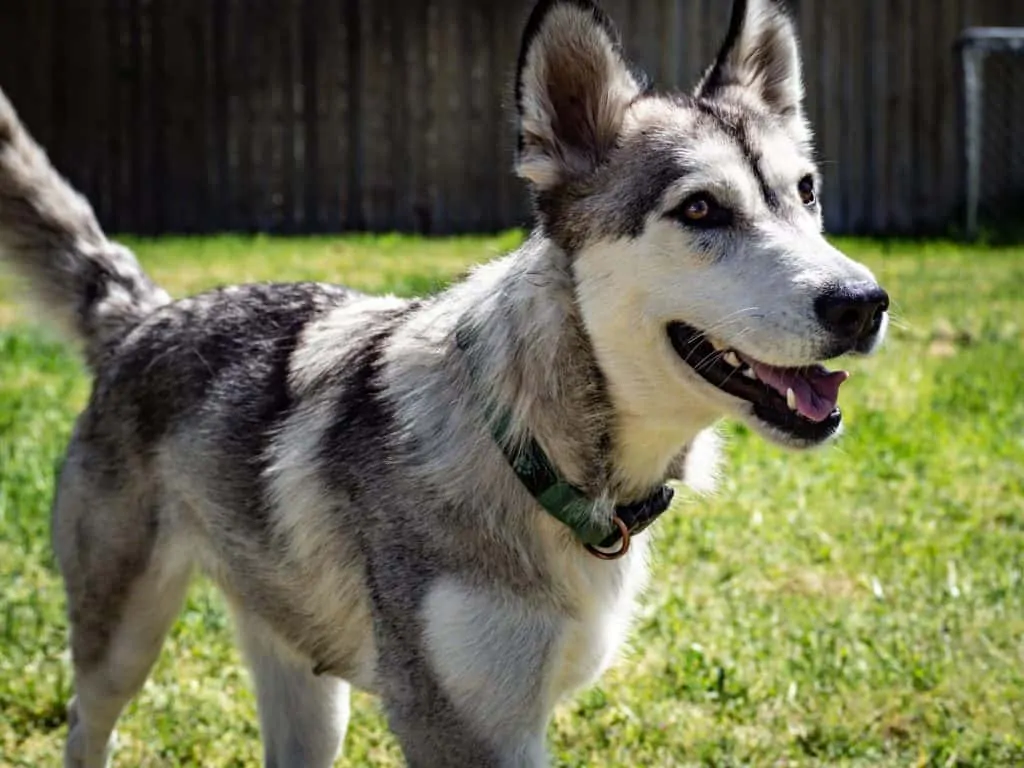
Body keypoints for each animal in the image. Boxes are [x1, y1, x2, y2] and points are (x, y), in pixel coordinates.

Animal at [0, 0, 888, 765]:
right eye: (701, 210)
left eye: (805, 193)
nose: (864, 304)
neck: (535, 453)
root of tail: (145, 314)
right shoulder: (467, 732)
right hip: (122, 643)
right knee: (86, 727)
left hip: (310, 698)